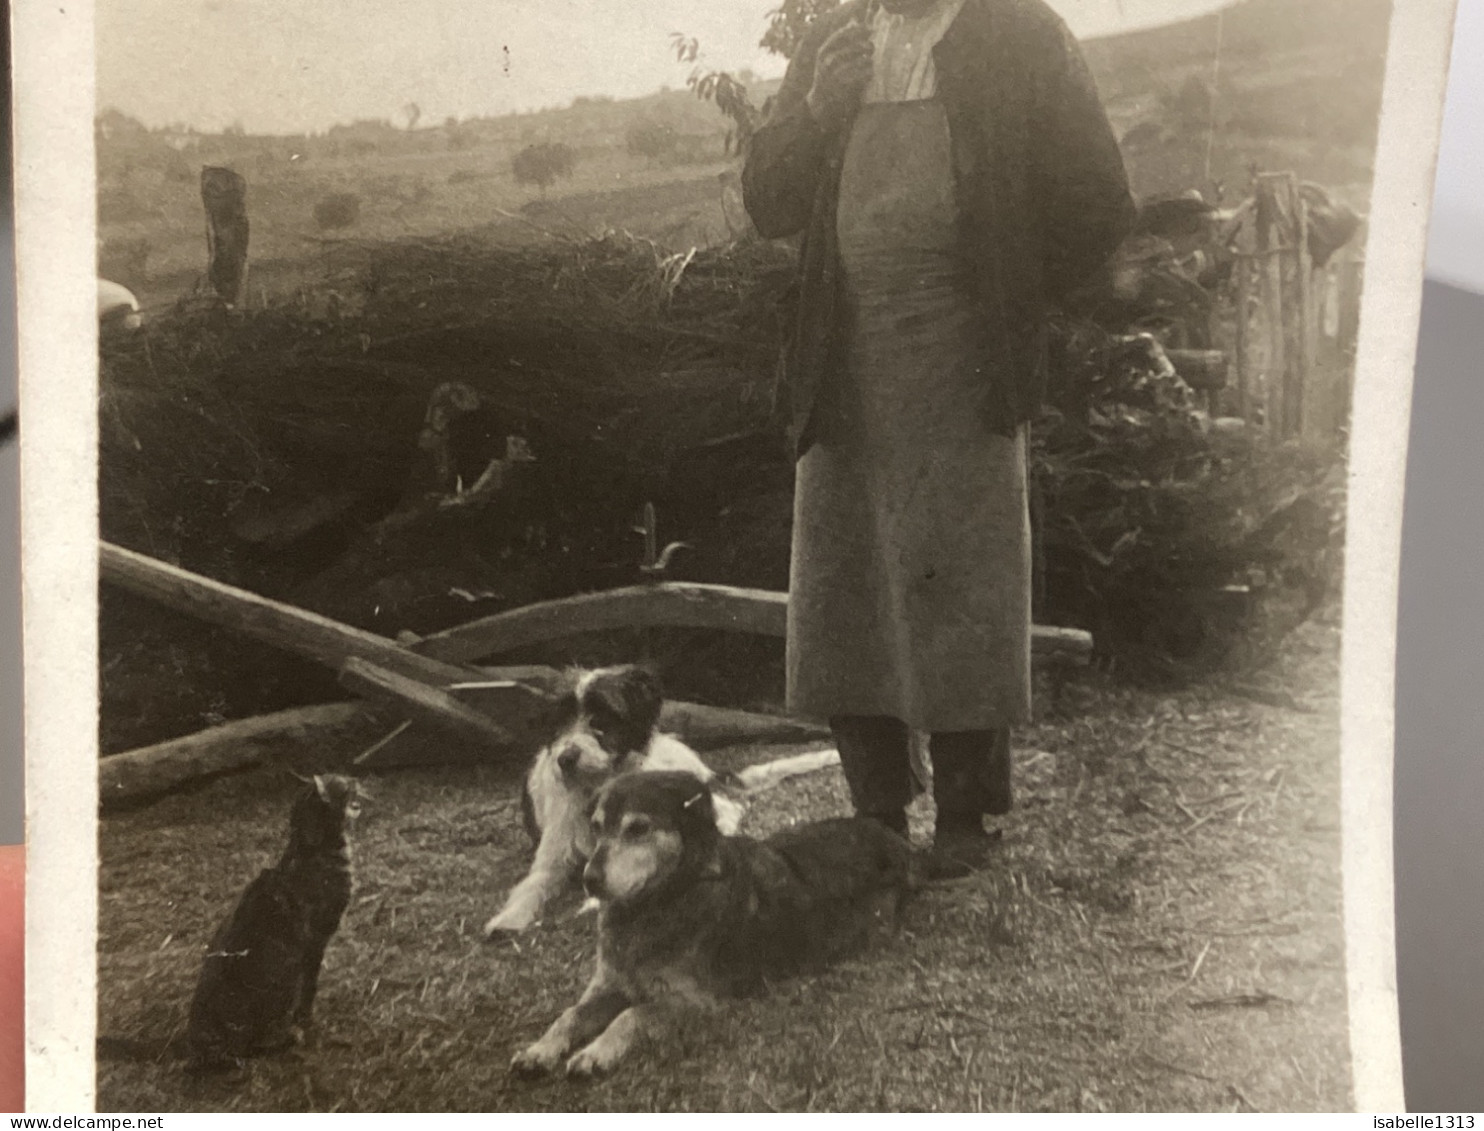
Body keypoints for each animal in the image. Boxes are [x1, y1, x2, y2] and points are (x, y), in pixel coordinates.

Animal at [184, 771, 362, 1068]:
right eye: (344, 783)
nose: (357, 779)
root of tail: (194, 1040)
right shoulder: (316, 942)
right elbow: (310, 988)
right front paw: (307, 1021)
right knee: (250, 1046)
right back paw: (289, 1036)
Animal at [510, 765, 914, 1074]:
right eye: (596, 827)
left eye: (638, 828)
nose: (588, 880)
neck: (666, 898)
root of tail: (896, 842)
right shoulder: (608, 985)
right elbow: (569, 1014)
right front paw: (539, 1049)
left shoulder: (696, 1001)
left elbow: (633, 1015)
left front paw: (594, 1053)